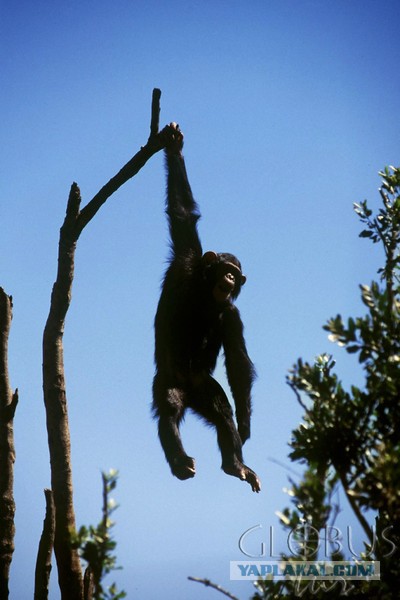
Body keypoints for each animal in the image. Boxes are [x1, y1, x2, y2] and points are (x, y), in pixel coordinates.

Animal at [152, 123, 260, 492]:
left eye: (236, 275)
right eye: (227, 268)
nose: (230, 278)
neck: (203, 292)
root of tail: (190, 394)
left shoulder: (233, 316)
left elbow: (238, 363)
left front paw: (245, 424)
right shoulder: (186, 257)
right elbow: (183, 213)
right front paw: (174, 148)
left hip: (205, 388)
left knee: (222, 412)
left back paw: (235, 464)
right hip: (167, 378)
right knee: (169, 409)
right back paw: (180, 461)